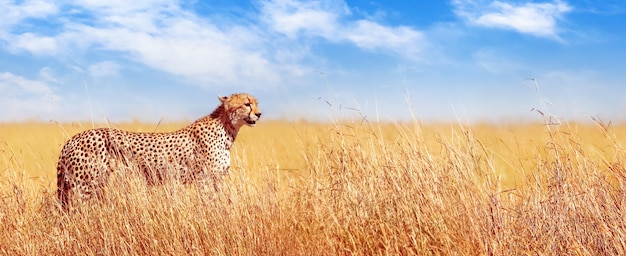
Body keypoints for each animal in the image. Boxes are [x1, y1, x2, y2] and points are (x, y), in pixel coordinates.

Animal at [55, 92, 260, 208]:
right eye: (247, 104)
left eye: (256, 103)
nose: (259, 114)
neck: (227, 127)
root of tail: (73, 138)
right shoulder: (205, 179)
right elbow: (210, 204)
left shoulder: (217, 179)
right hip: (85, 185)